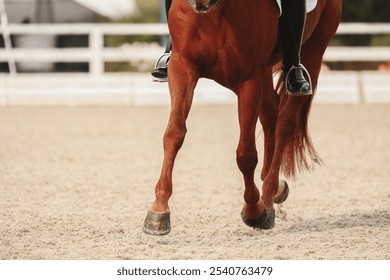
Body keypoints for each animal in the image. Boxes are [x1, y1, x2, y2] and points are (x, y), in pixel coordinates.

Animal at [142, 0, 342, 236]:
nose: (200, 3)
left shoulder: (249, 80)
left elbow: (245, 154)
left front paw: (254, 211)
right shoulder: (182, 67)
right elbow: (174, 134)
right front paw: (159, 210)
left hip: (313, 52)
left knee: (285, 123)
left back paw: (268, 197)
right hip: (265, 71)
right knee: (271, 117)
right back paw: (275, 189)